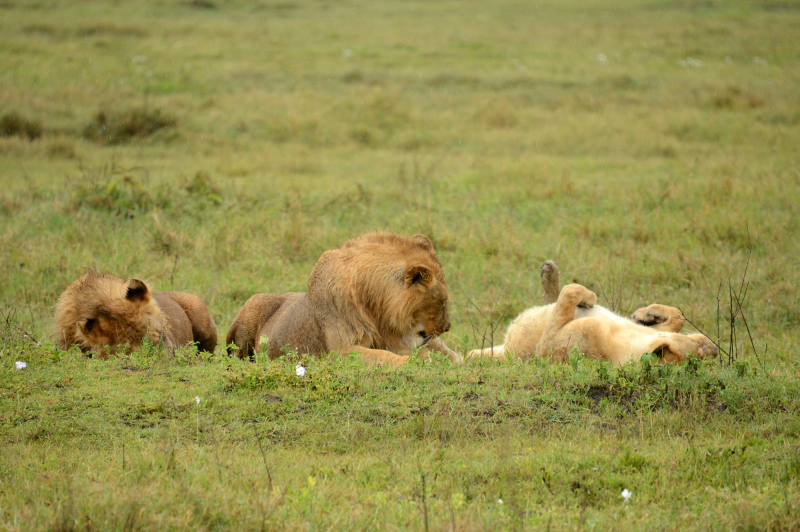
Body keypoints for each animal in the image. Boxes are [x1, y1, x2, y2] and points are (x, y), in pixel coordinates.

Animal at [225, 233, 462, 366]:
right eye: (442, 302)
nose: (448, 327)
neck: (377, 309)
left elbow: (442, 351)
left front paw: (456, 359)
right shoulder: (341, 351)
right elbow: (384, 356)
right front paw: (418, 360)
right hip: (255, 302)